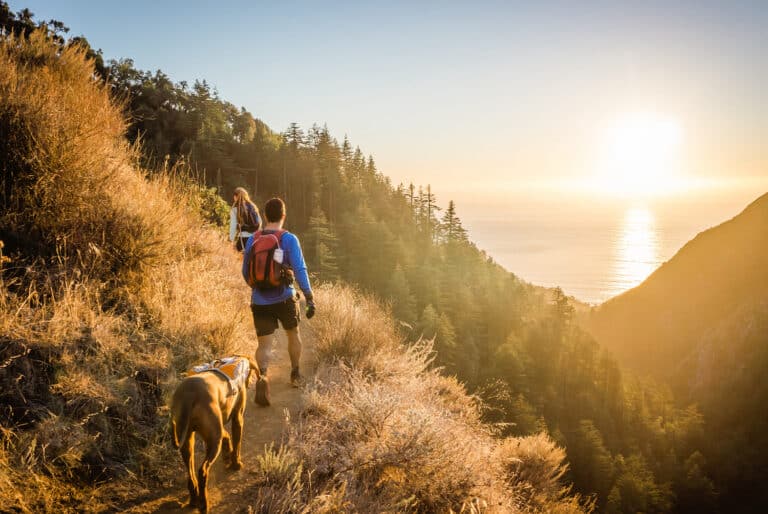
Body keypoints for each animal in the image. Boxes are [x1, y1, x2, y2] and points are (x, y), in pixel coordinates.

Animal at [170, 354, 260, 510]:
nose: (248, 383)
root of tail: (189, 393)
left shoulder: (217, 427)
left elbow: (227, 436)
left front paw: (227, 454)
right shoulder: (238, 418)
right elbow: (237, 443)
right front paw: (236, 464)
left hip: (189, 439)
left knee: (190, 473)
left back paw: (194, 499)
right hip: (212, 441)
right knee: (203, 471)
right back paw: (203, 503)